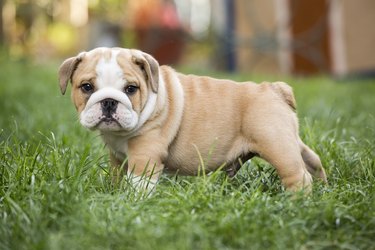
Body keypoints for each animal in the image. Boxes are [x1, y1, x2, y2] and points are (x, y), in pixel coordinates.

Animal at [58, 46, 326, 191]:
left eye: (131, 89)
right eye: (87, 87)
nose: (109, 102)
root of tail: (274, 88)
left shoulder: (145, 155)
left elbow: (139, 184)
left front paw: (134, 203)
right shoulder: (117, 157)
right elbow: (116, 176)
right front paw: (114, 193)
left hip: (276, 143)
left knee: (296, 174)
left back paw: (297, 202)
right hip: (288, 139)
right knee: (311, 159)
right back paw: (322, 187)